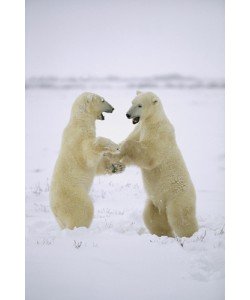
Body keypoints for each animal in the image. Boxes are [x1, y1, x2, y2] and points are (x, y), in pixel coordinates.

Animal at [50, 92, 124, 229]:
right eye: (102, 100)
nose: (113, 108)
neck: (80, 121)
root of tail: (56, 212)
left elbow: (97, 165)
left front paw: (117, 167)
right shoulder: (80, 139)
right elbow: (90, 152)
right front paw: (116, 146)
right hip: (75, 197)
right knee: (84, 210)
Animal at [118, 91, 198, 237]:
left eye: (140, 105)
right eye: (132, 102)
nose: (127, 114)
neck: (153, 120)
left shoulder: (159, 133)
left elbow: (149, 154)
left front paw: (125, 146)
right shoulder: (140, 128)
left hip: (178, 196)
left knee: (181, 217)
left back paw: (190, 236)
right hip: (155, 202)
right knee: (152, 218)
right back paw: (164, 235)